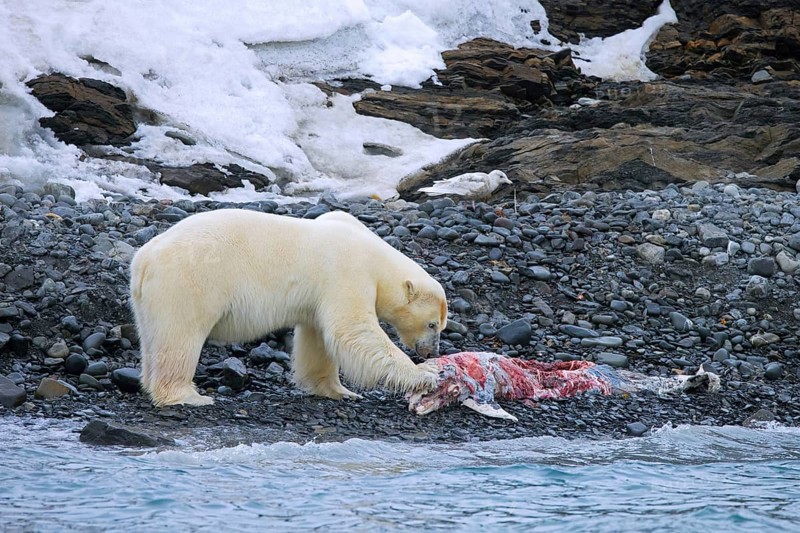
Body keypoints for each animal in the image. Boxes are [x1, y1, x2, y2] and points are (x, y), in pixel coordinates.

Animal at [129, 208, 448, 407]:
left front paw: (337, 391)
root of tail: (145, 259)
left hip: (148, 299)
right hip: (190, 281)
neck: (373, 254)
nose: (431, 352)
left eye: (441, 326)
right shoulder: (346, 273)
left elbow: (317, 340)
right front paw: (424, 375)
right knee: (180, 336)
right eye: (432, 324)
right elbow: (352, 329)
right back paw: (188, 396)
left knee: (153, 338)